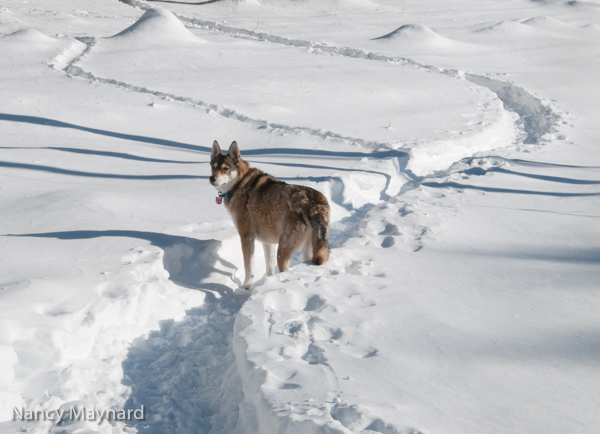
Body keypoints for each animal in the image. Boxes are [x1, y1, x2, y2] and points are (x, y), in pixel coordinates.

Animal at [210, 139, 332, 288]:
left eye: (225, 168)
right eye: (213, 167)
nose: (211, 178)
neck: (239, 185)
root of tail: (315, 204)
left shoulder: (246, 237)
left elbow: (248, 267)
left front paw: (246, 287)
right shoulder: (267, 243)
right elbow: (269, 270)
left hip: (283, 250)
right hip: (307, 250)